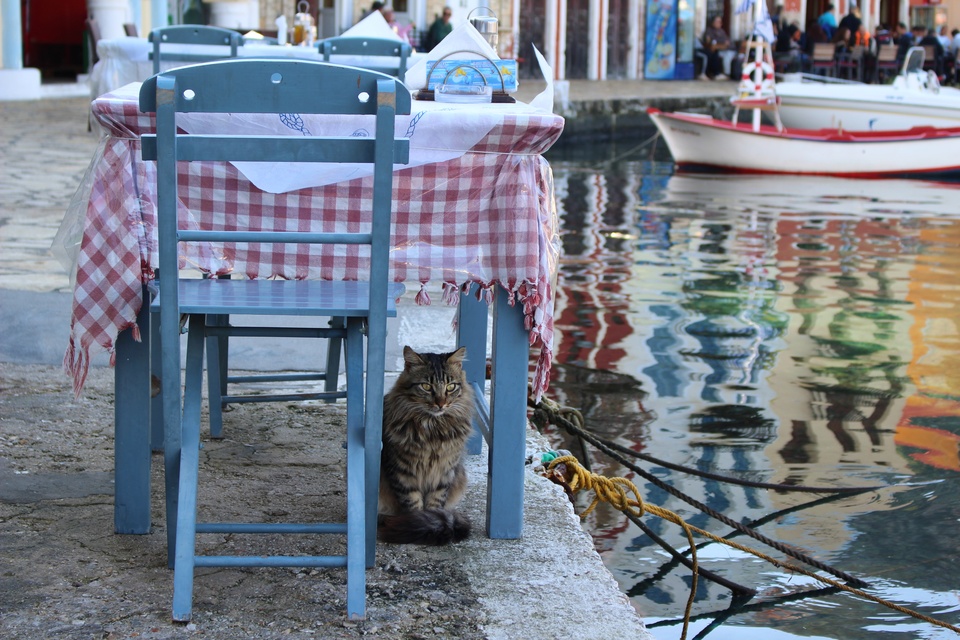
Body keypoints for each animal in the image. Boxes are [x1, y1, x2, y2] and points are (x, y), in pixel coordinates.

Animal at [378, 344, 476, 544]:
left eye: (450, 386)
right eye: (426, 386)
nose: (441, 404)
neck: (433, 428)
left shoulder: (444, 473)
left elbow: (435, 504)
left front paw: (429, 523)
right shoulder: (402, 472)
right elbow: (412, 503)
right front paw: (416, 524)